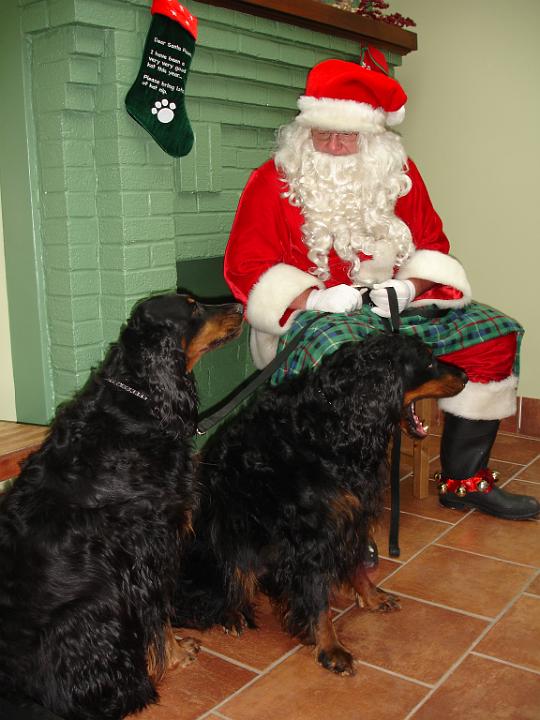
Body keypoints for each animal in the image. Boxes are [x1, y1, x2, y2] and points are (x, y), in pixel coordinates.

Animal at [0, 292, 243, 720]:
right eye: (193, 308)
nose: (241, 308)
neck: (138, 401)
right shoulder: (147, 550)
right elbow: (157, 613)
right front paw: (175, 654)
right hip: (91, 605)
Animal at [174, 332, 468, 676]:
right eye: (429, 361)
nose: (465, 376)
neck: (334, 421)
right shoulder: (312, 534)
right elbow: (318, 599)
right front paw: (331, 648)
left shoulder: (350, 517)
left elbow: (355, 564)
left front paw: (371, 596)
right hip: (228, 537)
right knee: (221, 587)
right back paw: (231, 614)